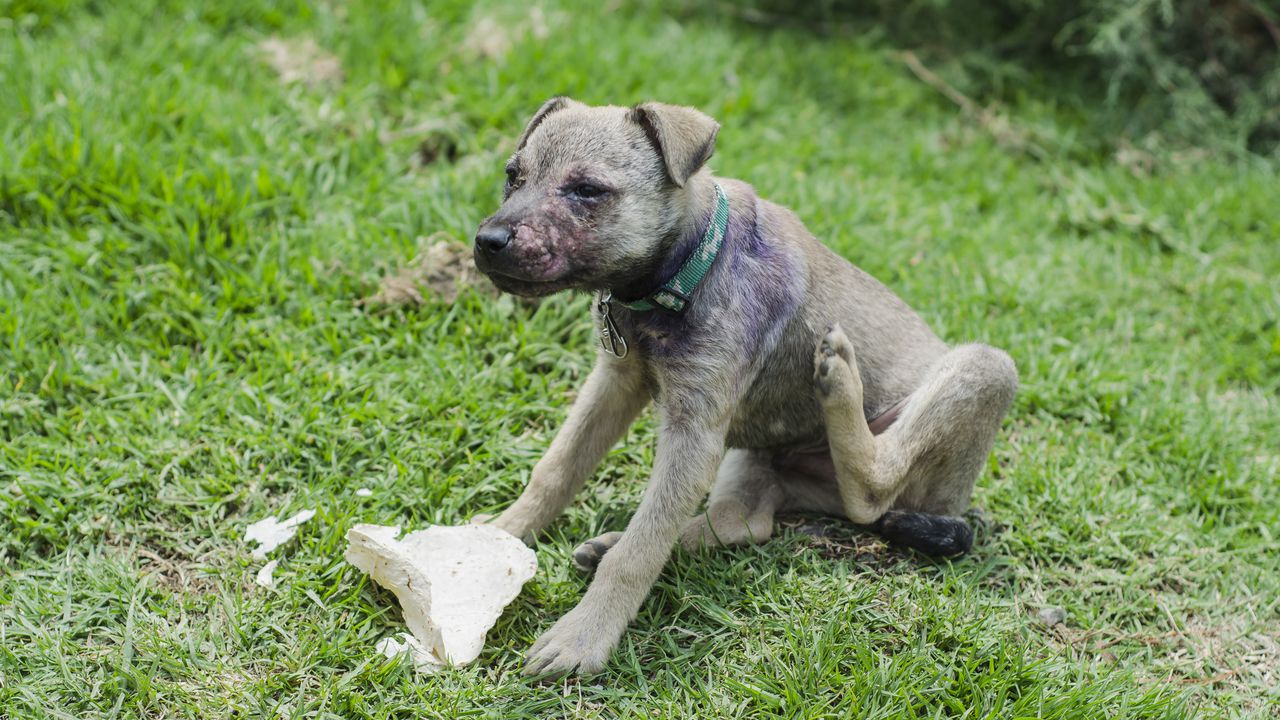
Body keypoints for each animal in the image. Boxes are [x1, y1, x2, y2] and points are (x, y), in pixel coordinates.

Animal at [471, 96, 1018, 671]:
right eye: (512, 176)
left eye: (586, 190)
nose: (487, 242)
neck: (686, 269)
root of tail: (949, 511)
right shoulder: (616, 384)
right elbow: (556, 469)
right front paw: (499, 535)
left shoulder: (693, 433)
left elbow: (639, 553)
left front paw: (583, 637)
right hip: (752, 454)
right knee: (745, 523)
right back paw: (611, 542)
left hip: (985, 368)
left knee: (872, 491)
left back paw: (841, 379)